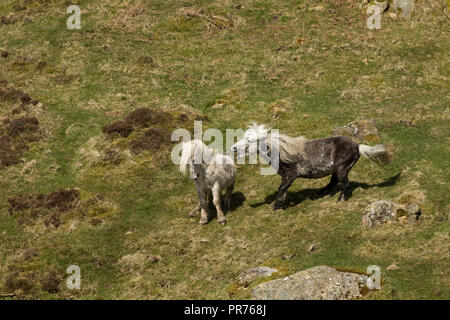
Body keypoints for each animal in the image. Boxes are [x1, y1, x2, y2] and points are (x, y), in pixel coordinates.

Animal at [232, 122, 390, 210]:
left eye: (249, 140)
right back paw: (317, 195)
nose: (233, 148)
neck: (283, 153)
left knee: (344, 184)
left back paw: (340, 199)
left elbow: (281, 189)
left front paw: (276, 206)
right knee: (333, 183)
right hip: (337, 169)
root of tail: (358, 146)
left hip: (341, 168)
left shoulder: (290, 175)